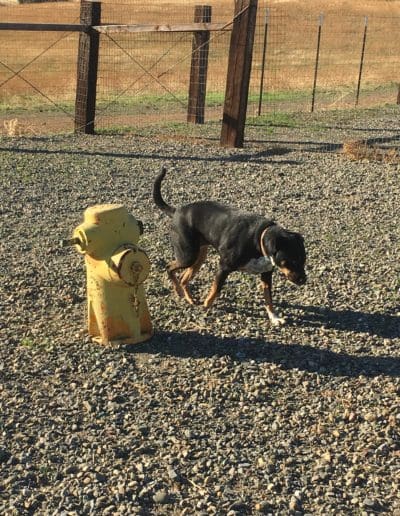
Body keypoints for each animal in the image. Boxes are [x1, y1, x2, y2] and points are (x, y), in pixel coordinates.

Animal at [153, 167, 306, 324]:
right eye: (290, 261)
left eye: (304, 260)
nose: (304, 280)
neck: (258, 239)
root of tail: (177, 211)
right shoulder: (224, 267)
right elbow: (215, 290)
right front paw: (206, 306)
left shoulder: (266, 274)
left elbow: (269, 298)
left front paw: (274, 317)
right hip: (188, 255)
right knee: (169, 267)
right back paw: (178, 291)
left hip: (199, 256)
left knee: (184, 278)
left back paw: (189, 299)